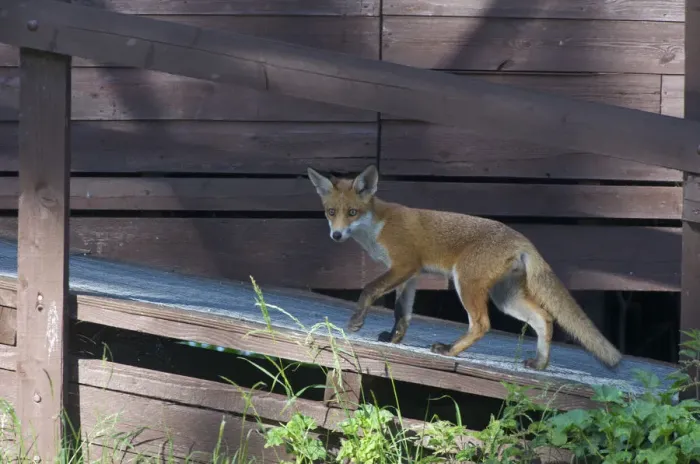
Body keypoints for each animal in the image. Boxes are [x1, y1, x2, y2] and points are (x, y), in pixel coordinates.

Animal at [307, 164, 623, 371]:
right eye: (331, 212)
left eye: (352, 212)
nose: (336, 235)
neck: (377, 228)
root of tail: (521, 237)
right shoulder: (410, 276)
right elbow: (402, 313)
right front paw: (394, 338)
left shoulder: (404, 265)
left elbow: (368, 289)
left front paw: (356, 322)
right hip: (506, 298)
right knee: (544, 318)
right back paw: (540, 364)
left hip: (466, 283)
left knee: (482, 324)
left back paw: (449, 349)